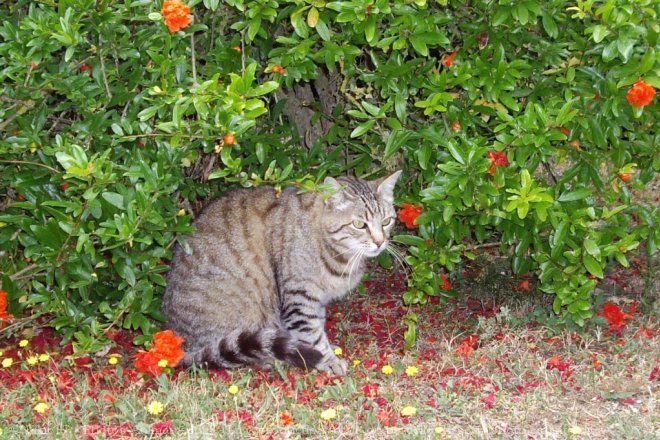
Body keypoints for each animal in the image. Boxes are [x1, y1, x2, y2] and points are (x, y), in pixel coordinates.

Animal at [162, 171, 400, 374]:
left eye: (387, 221)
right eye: (359, 224)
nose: (380, 242)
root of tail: (182, 346)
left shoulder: (315, 301)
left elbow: (317, 326)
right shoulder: (300, 296)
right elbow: (312, 334)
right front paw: (327, 361)